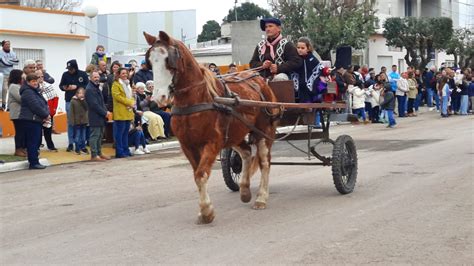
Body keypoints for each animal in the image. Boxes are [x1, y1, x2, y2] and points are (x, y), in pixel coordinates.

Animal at [143, 30, 280, 223]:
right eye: (150, 62)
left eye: (168, 60)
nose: (158, 98)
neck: (196, 100)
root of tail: (260, 81)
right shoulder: (188, 145)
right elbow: (196, 175)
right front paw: (204, 211)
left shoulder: (212, 143)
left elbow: (201, 174)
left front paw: (207, 211)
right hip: (235, 133)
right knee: (246, 153)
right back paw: (245, 190)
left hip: (263, 132)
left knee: (264, 162)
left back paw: (261, 198)